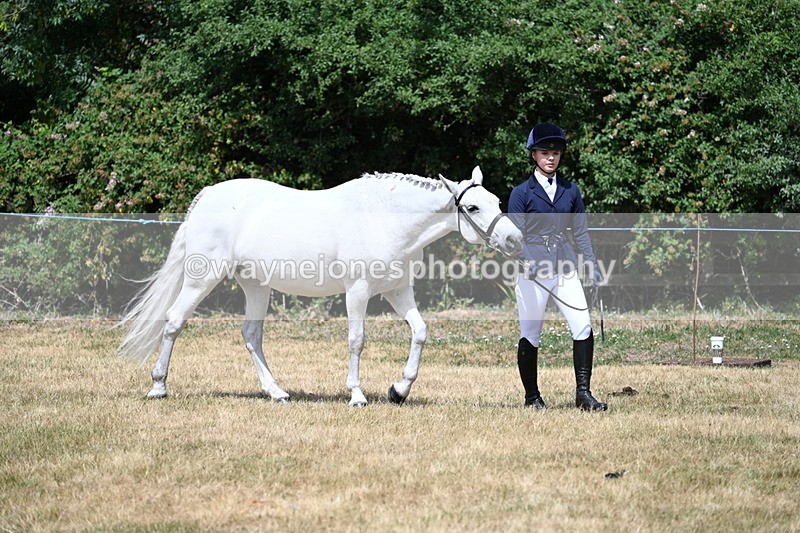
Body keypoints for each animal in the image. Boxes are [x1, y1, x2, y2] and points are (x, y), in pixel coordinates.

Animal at [118, 166, 523, 407]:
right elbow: (357, 340)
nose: (514, 239)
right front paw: (357, 395)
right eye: (472, 207)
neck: (385, 220)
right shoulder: (358, 292)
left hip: (256, 285)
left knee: (251, 335)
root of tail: (205, 197)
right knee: (174, 321)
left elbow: (420, 332)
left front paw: (399, 390)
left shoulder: (397, 291)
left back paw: (277, 392)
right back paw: (158, 387)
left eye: (496, 200)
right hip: (202, 277)